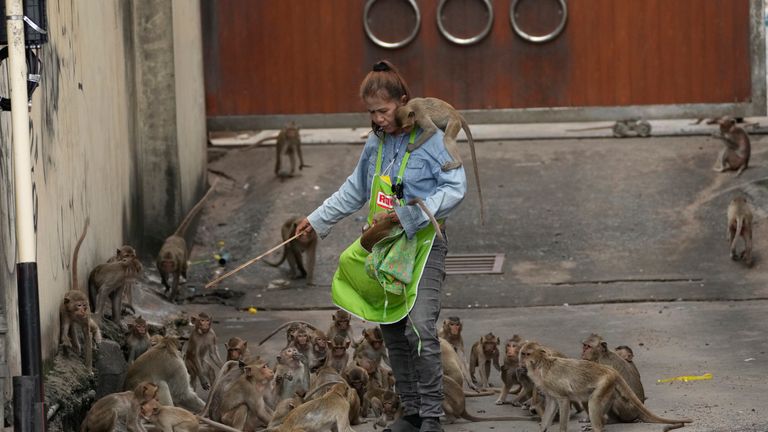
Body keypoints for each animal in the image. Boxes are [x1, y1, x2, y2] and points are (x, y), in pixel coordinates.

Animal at [60, 219, 101, 372]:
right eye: (78, 306)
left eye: (85, 305)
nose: (83, 310)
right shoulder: (64, 311)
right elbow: (65, 327)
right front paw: (66, 339)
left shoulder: (85, 317)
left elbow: (87, 335)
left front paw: (88, 368)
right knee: (72, 326)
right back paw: (76, 345)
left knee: (90, 327)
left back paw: (96, 334)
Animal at [396, 95, 486, 223]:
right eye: (403, 128)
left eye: (407, 127)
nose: (407, 131)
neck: (411, 106)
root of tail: (457, 114)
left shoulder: (420, 115)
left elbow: (431, 129)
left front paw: (412, 147)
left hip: (454, 122)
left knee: (447, 138)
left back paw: (458, 163)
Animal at [520, 340, 692, 432]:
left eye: (527, 354)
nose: (522, 361)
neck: (540, 366)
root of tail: (610, 371)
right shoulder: (548, 389)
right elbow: (551, 404)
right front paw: (543, 428)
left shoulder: (553, 383)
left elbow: (563, 401)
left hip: (605, 382)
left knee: (593, 402)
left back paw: (598, 427)